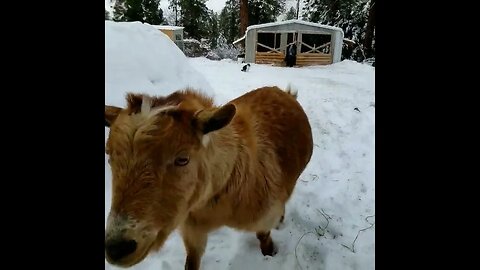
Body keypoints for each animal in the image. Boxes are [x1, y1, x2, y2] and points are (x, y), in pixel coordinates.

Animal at [104, 86, 314, 270]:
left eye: (182, 159)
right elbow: (192, 260)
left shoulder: (265, 214)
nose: (117, 247)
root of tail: (284, 92)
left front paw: (270, 253)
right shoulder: (192, 228)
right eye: (109, 156)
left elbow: (264, 235)